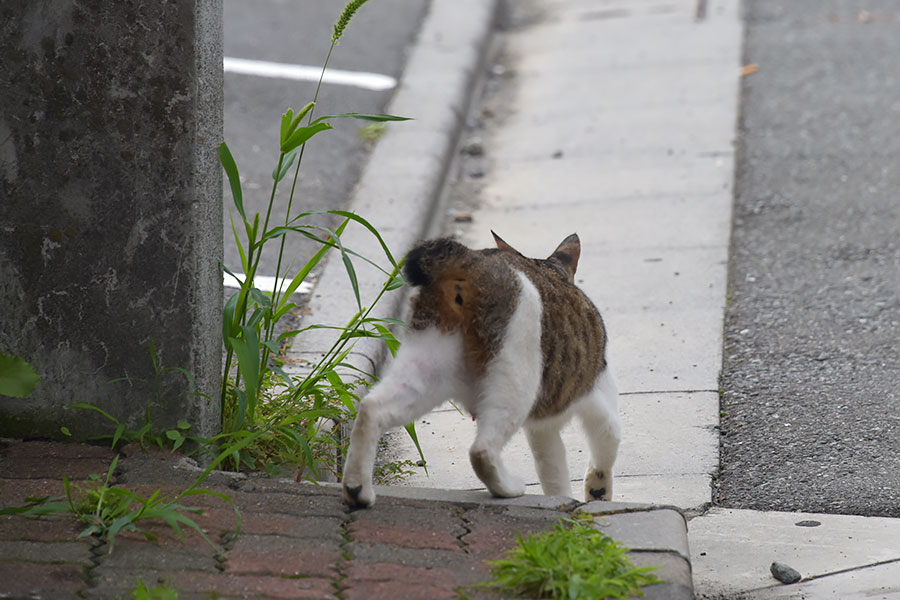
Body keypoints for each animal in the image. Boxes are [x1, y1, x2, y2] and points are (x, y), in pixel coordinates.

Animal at [342, 232, 624, 508]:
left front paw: (563, 496)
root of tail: (469, 260)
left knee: (371, 409)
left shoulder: (542, 429)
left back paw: (357, 490)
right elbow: (608, 440)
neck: (551, 271)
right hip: (513, 377)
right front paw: (597, 491)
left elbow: (552, 469)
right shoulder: (597, 389)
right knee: (482, 451)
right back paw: (508, 488)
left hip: (427, 365)